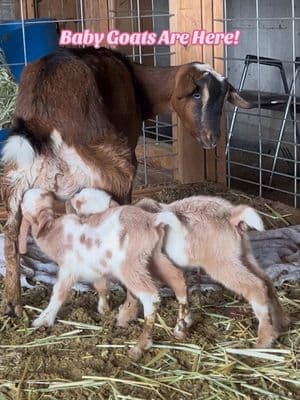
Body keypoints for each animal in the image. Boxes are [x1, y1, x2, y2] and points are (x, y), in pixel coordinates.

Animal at [1, 46, 251, 316]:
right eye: (195, 93)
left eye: (222, 98)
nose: (211, 138)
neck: (136, 81)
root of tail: (42, 121)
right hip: (115, 169)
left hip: (15, 181)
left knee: (10, 235)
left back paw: (13, 304)